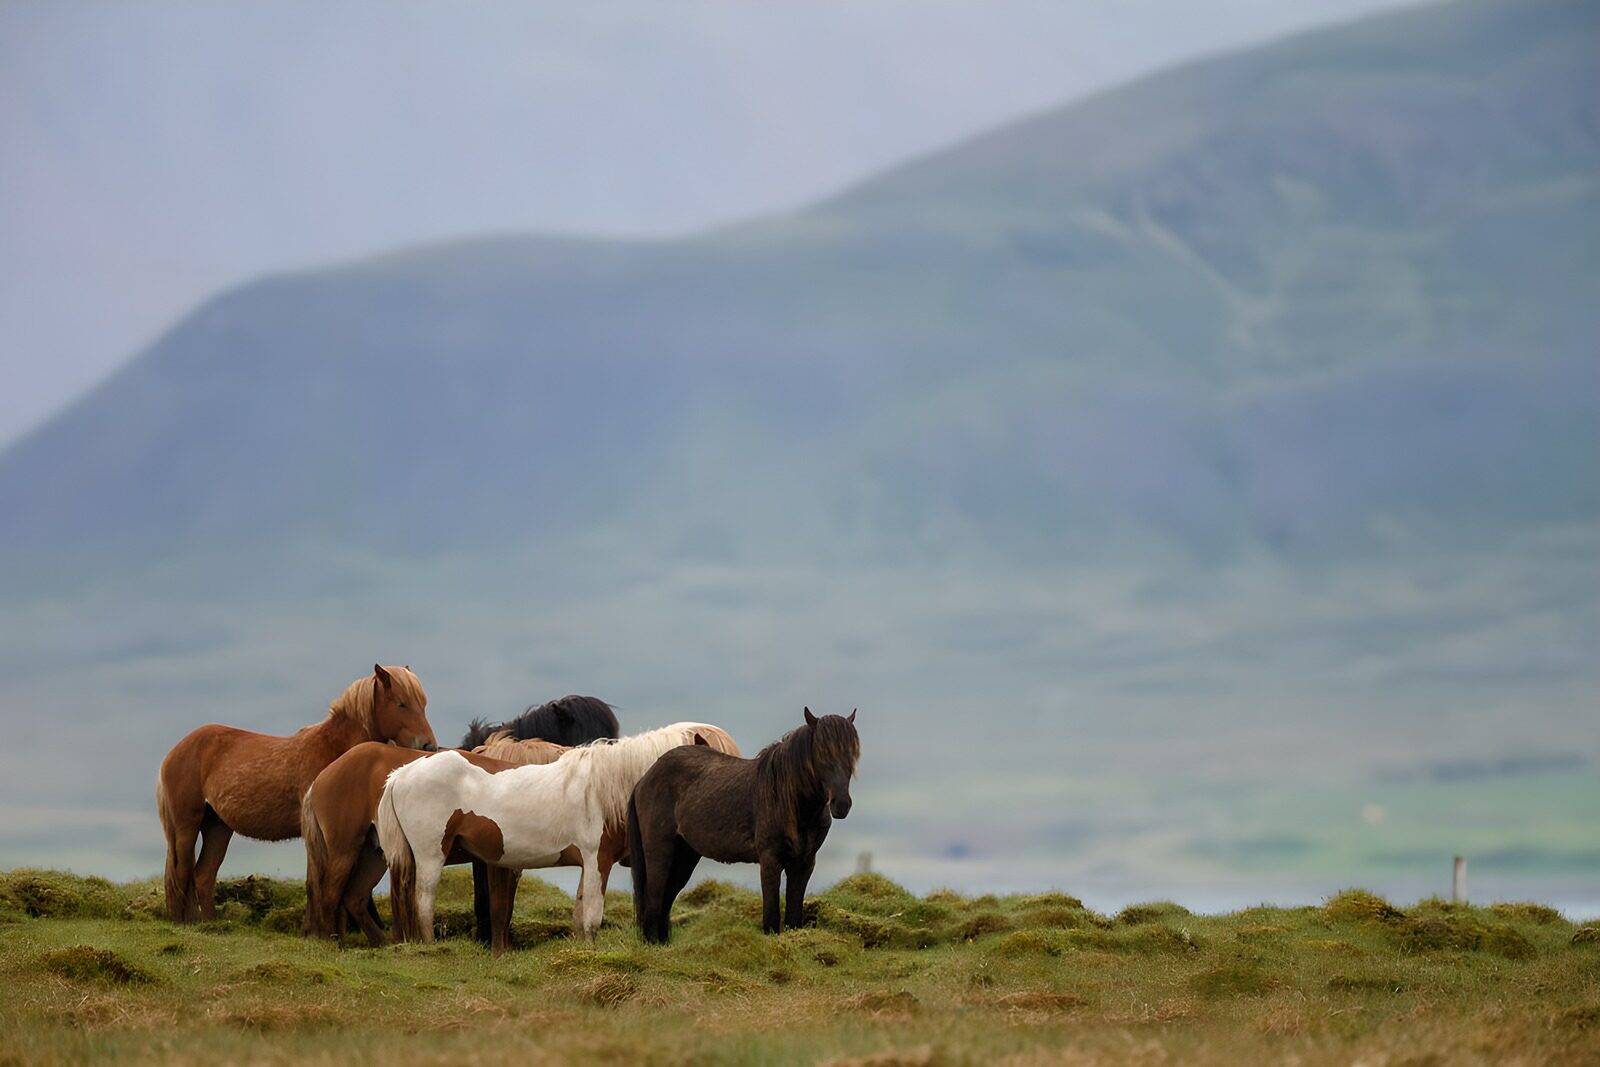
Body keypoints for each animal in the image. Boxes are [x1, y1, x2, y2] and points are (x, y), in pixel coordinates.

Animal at [157, 664, 436, 923]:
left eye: (423, 703)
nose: (428, 745)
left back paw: (211, 923)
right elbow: (317, 883)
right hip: (187, 825)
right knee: (182, 873)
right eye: (401, 703)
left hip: (217, 827)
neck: (335, 752)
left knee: (203, 875)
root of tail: (175, 751)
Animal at [300, 733, 567, 945]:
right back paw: (333, 941)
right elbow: (498, 906)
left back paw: (380, 943)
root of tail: (321, 778)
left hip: (374, 855)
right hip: (345, 850)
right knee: (331, 893)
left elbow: (502, 906)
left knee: (353, 897)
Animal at [377, 722, 739, 954]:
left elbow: (579, 917)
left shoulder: (588, 865)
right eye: (716, 759)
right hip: (430, 855)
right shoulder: (597, 861)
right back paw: (429, 947)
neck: (604, 786)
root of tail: (402, 774)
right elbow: (592, 917)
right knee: (423, 902)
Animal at [629, 708, 858, 944]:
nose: (841, 805)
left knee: (666, 898)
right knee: (654, 897)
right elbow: (771, 914)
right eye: (821, 754)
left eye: (852, 753)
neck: (789, 799)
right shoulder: (770, 860)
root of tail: (645, 778)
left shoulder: (804, 863)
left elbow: (794, 914)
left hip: (685, 855)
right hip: (660, 851)